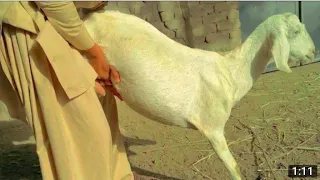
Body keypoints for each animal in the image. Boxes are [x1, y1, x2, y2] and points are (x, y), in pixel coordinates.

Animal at [83, 11, 316, 179]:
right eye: (296, 31)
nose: (313, 52)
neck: (230, 73)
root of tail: (88, 19)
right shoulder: (212, 127)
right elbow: (234, 167)